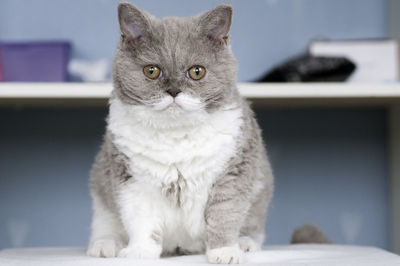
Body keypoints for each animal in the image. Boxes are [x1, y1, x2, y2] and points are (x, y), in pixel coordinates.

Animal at [86, 2, 276, 264]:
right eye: (152, 71)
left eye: (197, 71)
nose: (174, 91)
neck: (176, 135)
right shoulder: (131, 179)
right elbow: (142, 220)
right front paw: (139, 252)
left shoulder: (234, 172)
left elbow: (225, 214)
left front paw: (224, 251)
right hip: (100, 192)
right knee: (106, 226)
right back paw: (106, 246)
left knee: (253, 227)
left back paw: (245, 243)